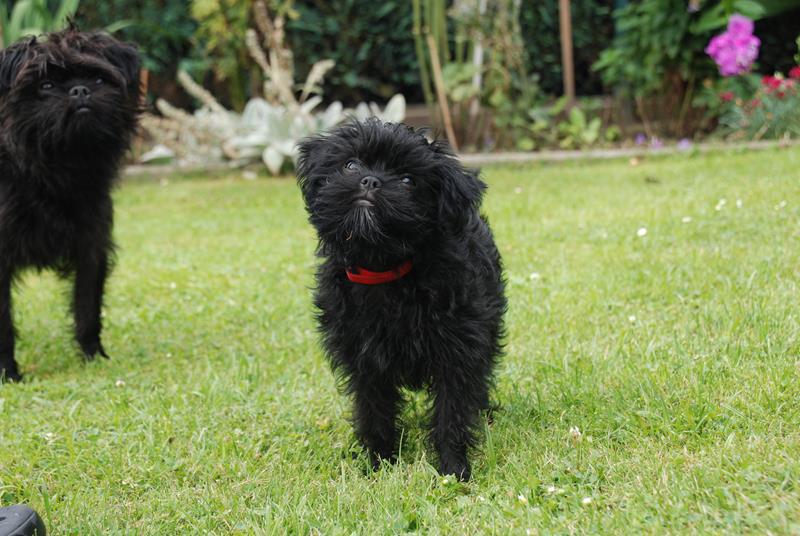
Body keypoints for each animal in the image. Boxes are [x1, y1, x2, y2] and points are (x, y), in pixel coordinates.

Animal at [0, 28, 141, 381]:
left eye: (98, 78)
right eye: (46, 85)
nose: (80, 90)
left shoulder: (91, 243)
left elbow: (88, 305)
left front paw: (93, 357)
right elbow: (3, 323)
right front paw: (8, 372)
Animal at [297, 120, 506, 480]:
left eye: (408, 180)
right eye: (351, 165)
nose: (370, 180)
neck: (385, 271)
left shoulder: (458, 350)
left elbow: (452, 411)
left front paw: (453, 468)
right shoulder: (364, 358)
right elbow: (374, 411)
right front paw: (379, 462)